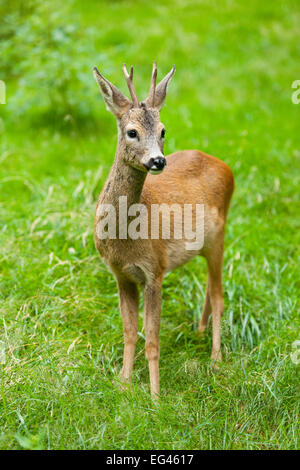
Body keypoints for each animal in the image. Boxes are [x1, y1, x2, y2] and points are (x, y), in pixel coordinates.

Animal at [94, 62, 234, 398]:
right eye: (132, 132)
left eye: (162, 131)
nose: (158, 160)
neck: (125, 237)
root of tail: (226, 167)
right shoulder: (121, 274)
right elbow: (129, 331)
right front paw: (124, 383)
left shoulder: (154, 269)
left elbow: (152, 339)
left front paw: (156, 396)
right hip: (203, 245)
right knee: (210, 287)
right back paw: (199, 332)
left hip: (220, 237)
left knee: (220, 295)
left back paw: (216, 360)